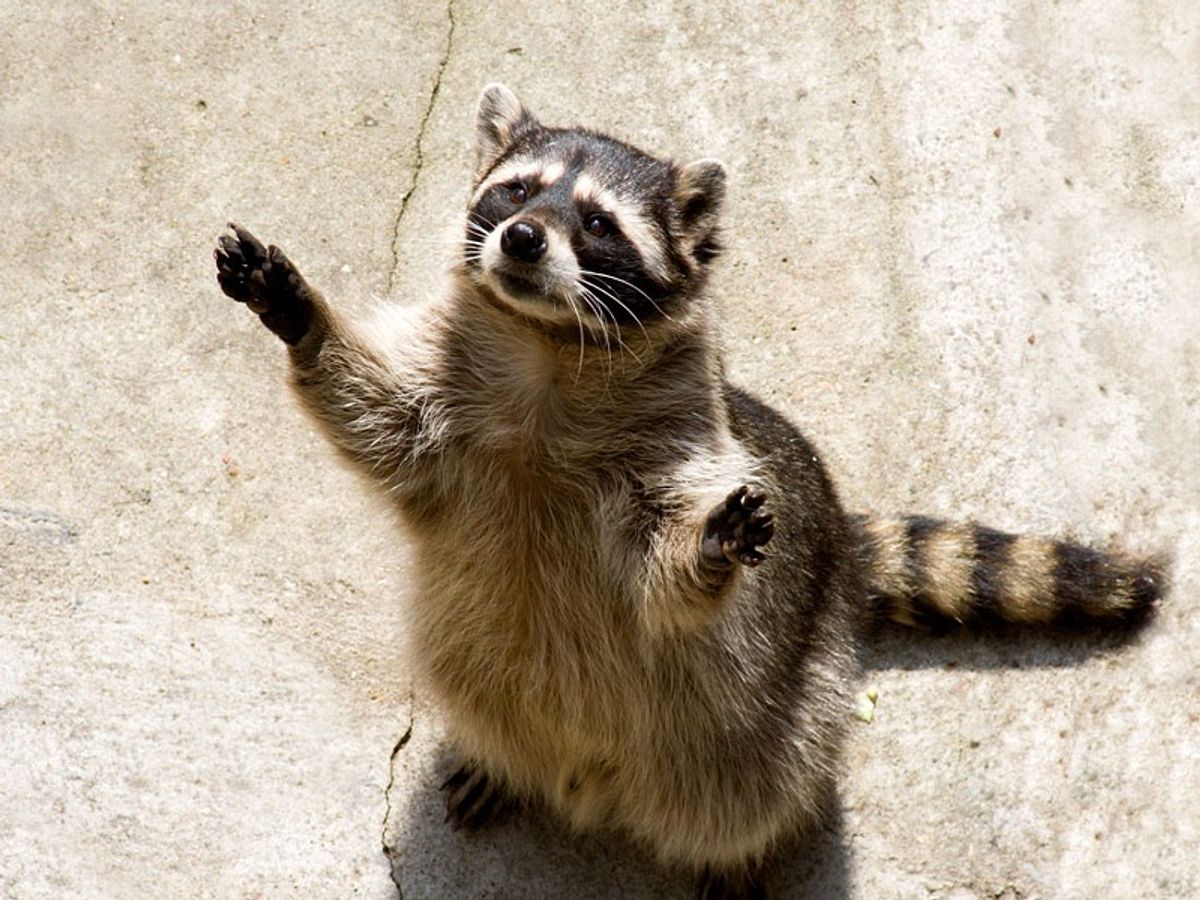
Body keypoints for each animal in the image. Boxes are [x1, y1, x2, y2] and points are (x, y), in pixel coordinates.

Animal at [213, 82, 1161, 897]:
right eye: (515, 191)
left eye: (598, 223)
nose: (521, 238)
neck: (549, 356)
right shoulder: (442, 416)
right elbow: (373, 415)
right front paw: (303, 319)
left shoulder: (682, 448)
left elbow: (666, 574)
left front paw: (705, 549)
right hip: (479, 666)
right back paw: (504, 758)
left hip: (786, 697)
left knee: (764, 783)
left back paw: (739, 851)